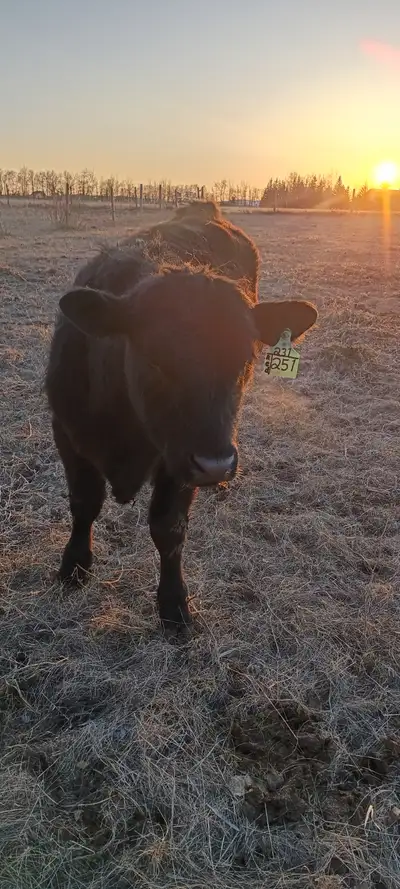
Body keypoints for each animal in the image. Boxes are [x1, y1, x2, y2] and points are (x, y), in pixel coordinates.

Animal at [45, 201, 318, 632]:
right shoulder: (68, 434)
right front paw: (74, 566)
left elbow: (168, 528)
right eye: (154, 359)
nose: (216, 464)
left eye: (247, 358)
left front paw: (173, 602)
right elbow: (84, 503)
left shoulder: (178, 462)